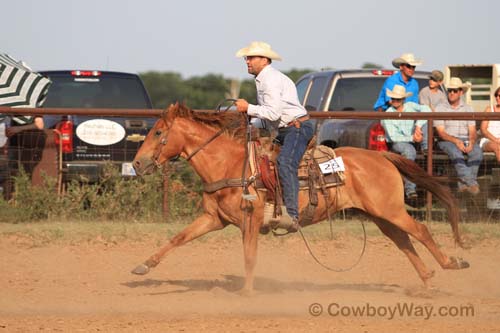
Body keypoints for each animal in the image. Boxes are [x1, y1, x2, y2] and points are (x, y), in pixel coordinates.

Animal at [132, 104, 468, 294]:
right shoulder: (214, 219)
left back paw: (452, 263)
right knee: (404, 241)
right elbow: (178, 238)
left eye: (158, 132)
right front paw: (143, 266)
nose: (136, 163)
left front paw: (247, 292)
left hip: (391, 210)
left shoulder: (250, 219)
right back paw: (427, 281)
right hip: (381, 216)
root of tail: (381, 156)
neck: (230, 164)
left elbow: (249, 256)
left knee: (420, 231)